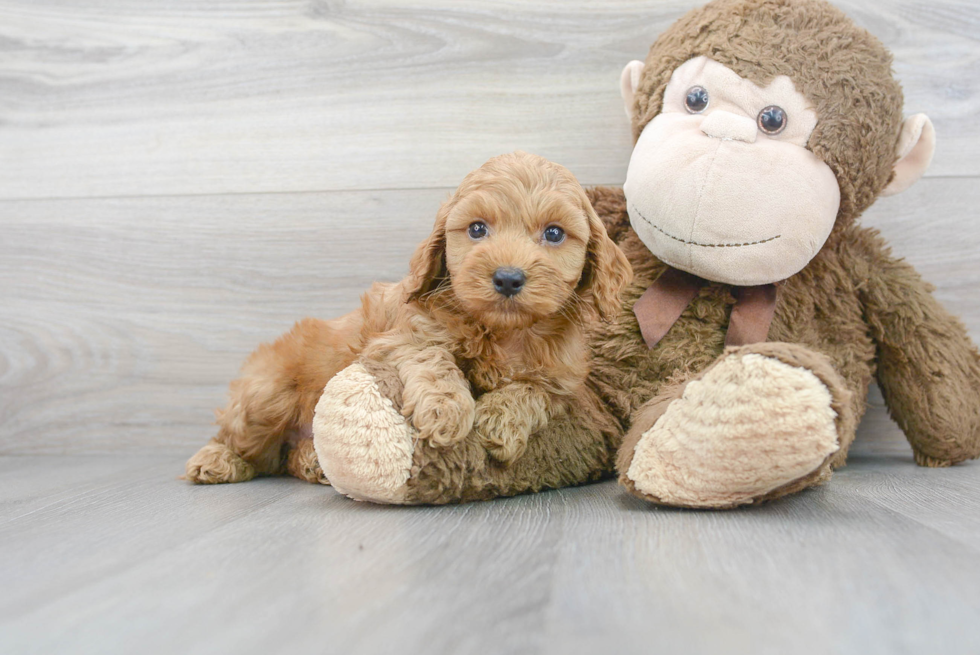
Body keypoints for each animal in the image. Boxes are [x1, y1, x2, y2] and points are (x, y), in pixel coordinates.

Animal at [187, 151, 632, 484]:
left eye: (554, 233)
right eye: (476, 229)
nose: (507, 278)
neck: (504, 332)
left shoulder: (562, 381)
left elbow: (531, 391)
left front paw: (498, 420)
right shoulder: (398, 338)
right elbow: (433, 358)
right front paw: (446, 409)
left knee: (286, 456)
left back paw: (312, 462)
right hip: (267, 395)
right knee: (240, 438)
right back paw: (215, 461)